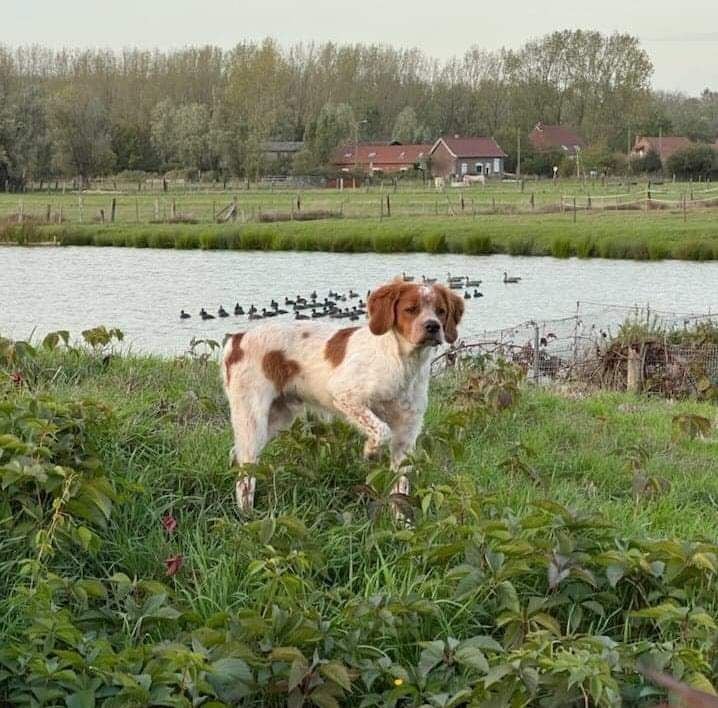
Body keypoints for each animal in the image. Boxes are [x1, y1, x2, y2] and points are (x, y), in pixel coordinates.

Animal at [222, 278, 464, 516]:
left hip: (276, 420)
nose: (433, 326)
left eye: (441, 311)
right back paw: (246, 516)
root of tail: (238, 339)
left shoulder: (406, 435)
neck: (403, 364)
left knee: (237, 455)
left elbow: (401, 492)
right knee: (245, 474)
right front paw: (370, 451)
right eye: (411, 309)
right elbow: (382, 430)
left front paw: (402, 524)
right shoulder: (345, 395)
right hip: (253, 420)